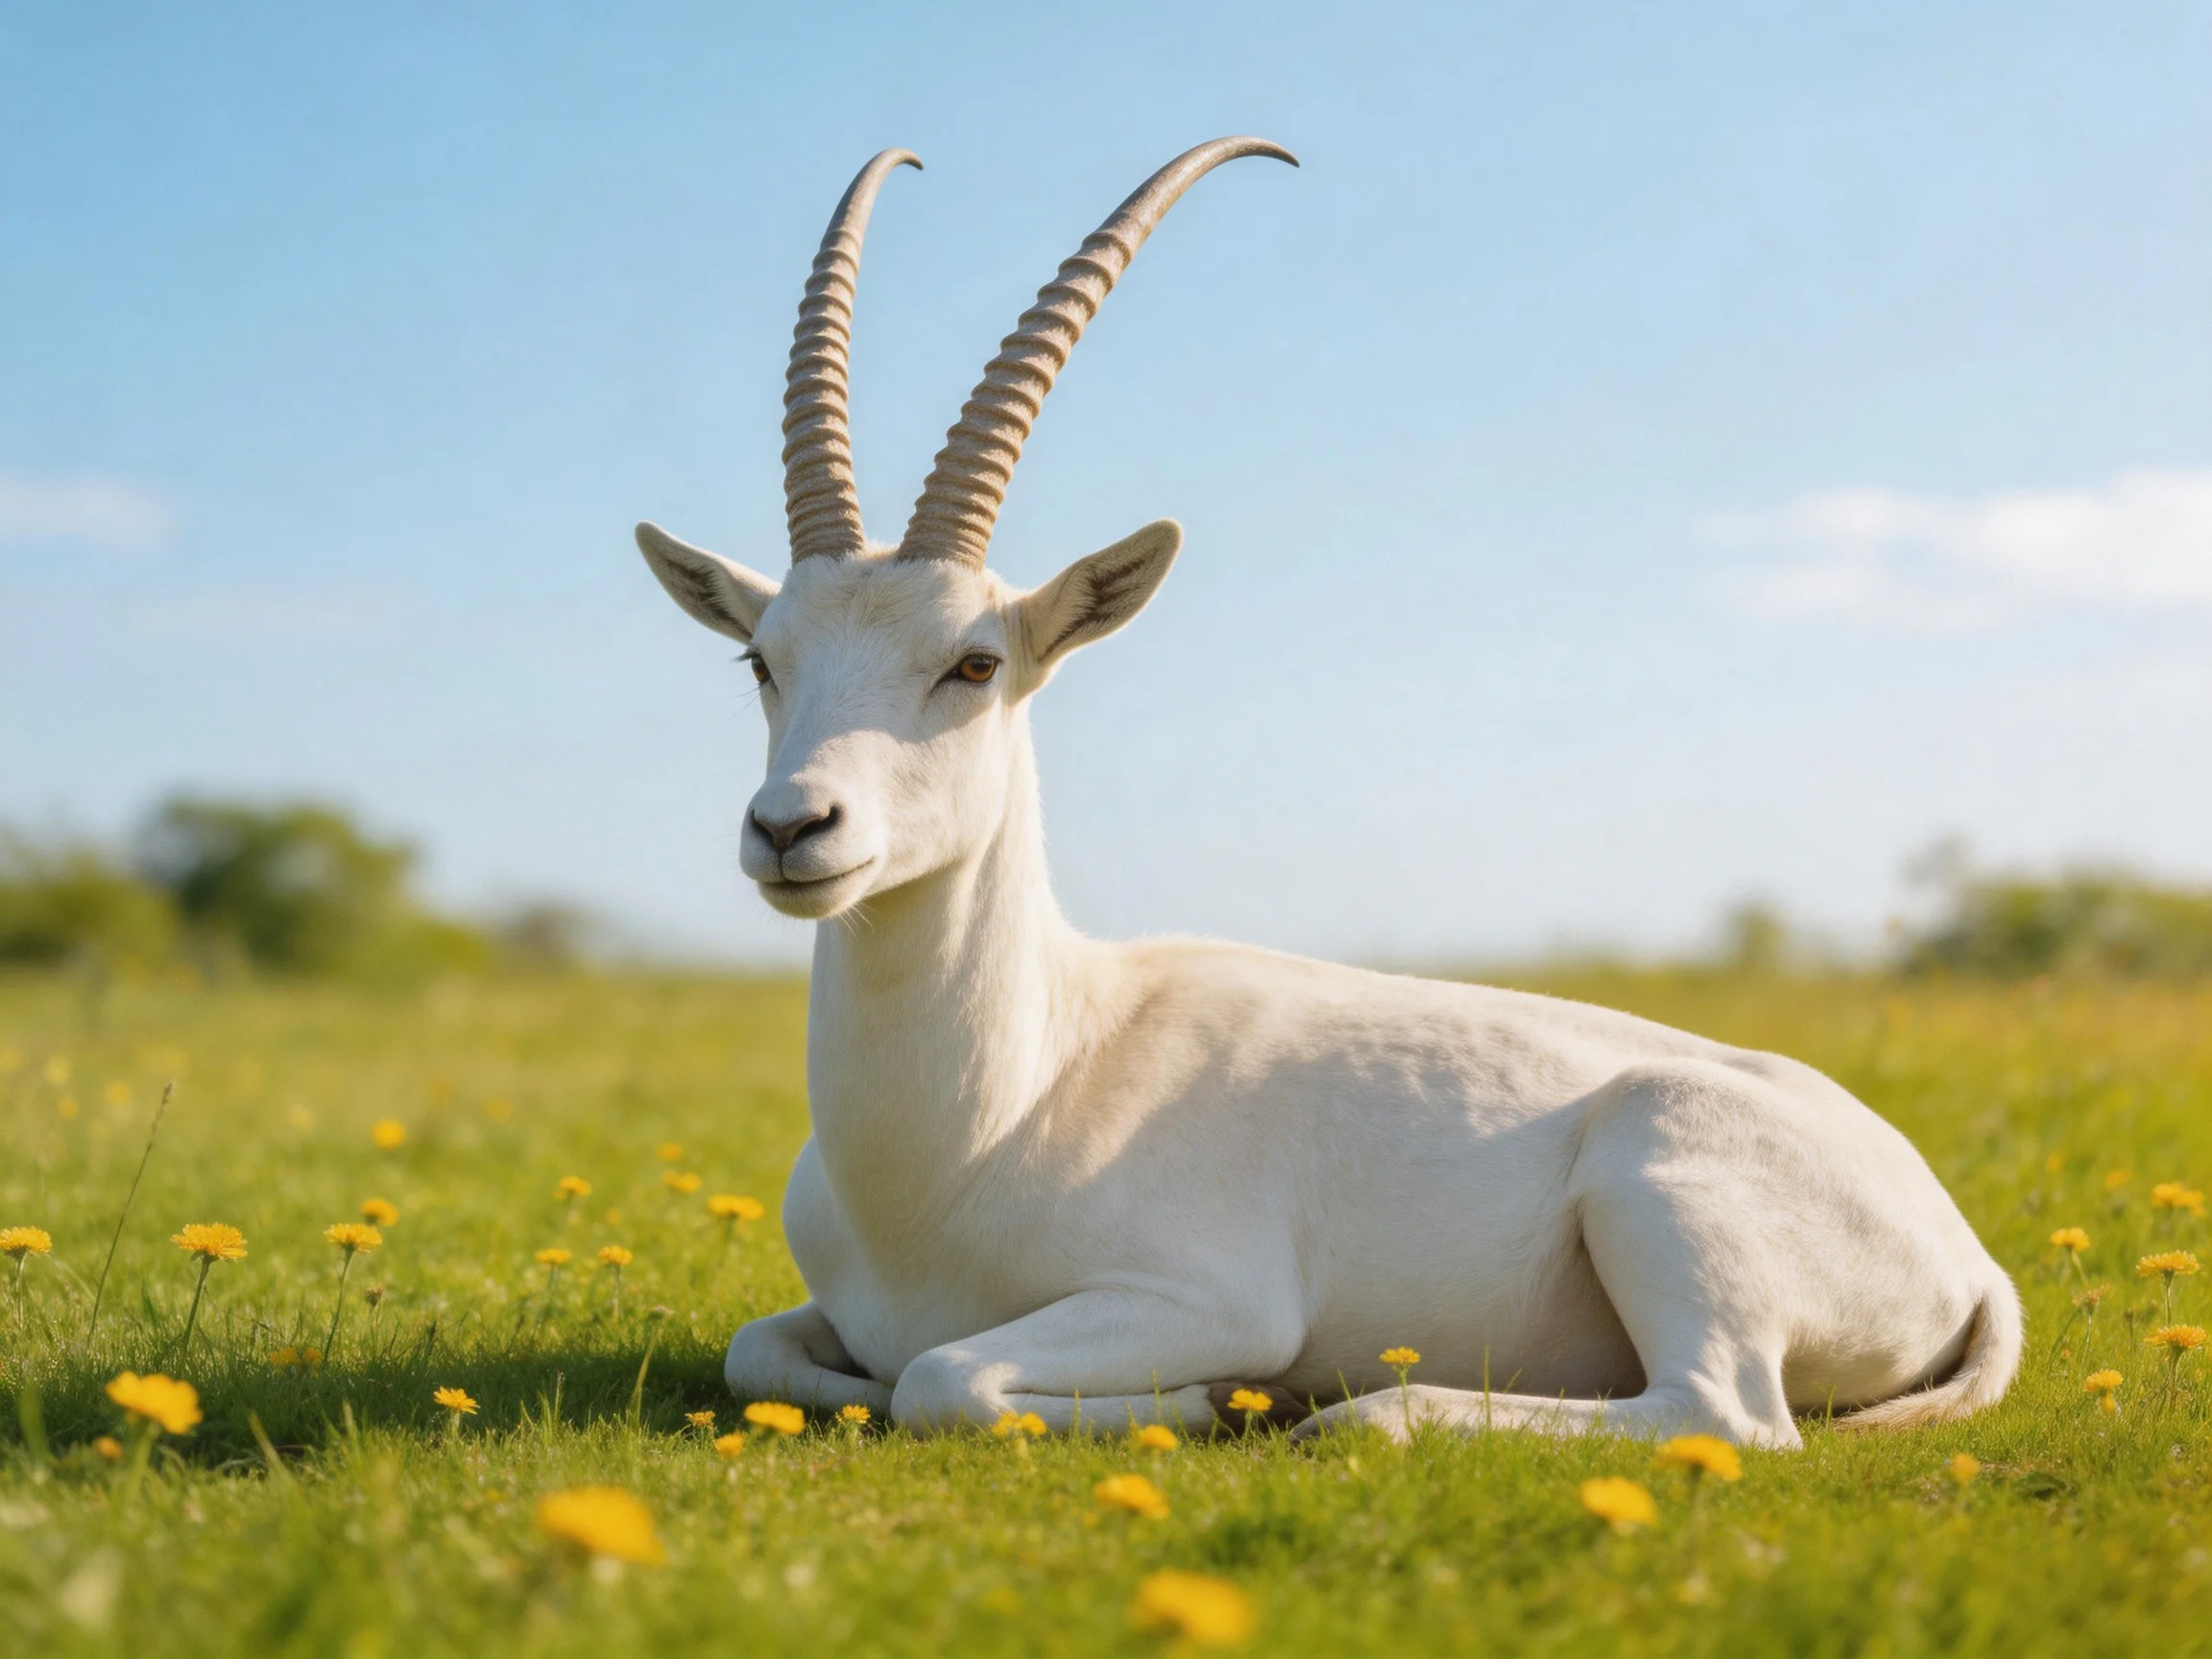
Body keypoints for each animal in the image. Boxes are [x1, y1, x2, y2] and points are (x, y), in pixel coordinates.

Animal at [633, 139, 2020, 1445]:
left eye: (974, 663)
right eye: (764, 659)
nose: (793, 828)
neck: (1022, 1088)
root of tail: (1967, 1257)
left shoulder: (1206, 1298)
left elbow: (942, 1376)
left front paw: (1211, 1402)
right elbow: (763, 1352)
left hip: (1661, 1188)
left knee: (1721, 1410)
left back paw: (1355, 1415)